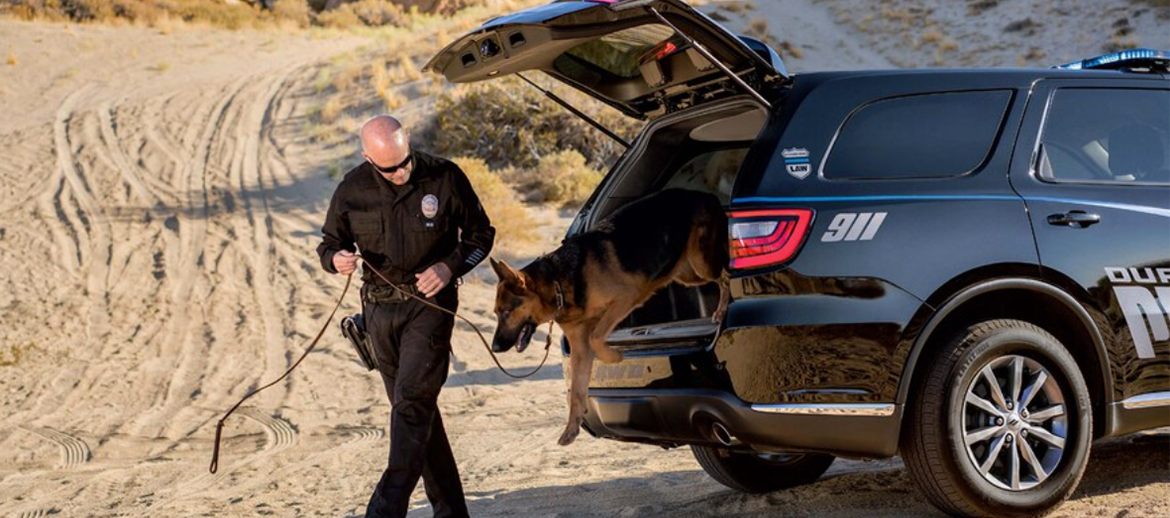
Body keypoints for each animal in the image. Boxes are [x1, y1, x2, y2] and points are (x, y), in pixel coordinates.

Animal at [486, 189, 725, 446]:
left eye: (506, 312)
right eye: (496, 313)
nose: (495, 347)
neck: (559, 283)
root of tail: (704, 193)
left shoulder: (624, 300)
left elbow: (597, 337)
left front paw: (613, 357)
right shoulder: (580, 348)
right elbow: (577, 392)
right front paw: (571, 430)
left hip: (701, 265)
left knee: (726, 275)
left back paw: (723, 309)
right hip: (687, 274)